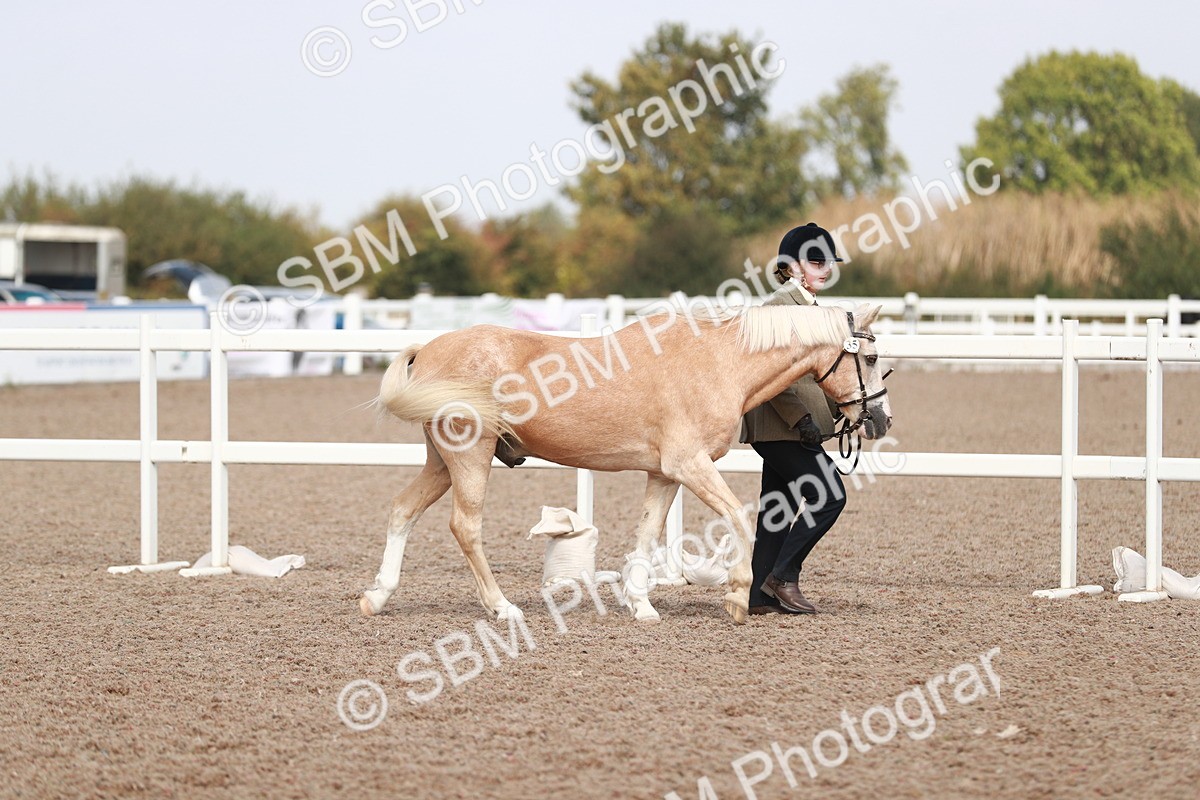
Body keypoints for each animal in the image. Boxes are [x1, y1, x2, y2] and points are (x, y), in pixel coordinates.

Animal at [359, 301, 891, 624]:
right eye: (869, 357)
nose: (879, 420)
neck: (719, 363)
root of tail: (428, 349)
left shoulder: (664, 473)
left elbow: (648, 532)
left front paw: (641, 605)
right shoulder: (691, 465)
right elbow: (739, 518)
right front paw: (737, 598)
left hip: (441, 462)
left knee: (402, 510)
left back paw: (377, 596)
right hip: (470, 457)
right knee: (465, 527)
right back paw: (503, 607)